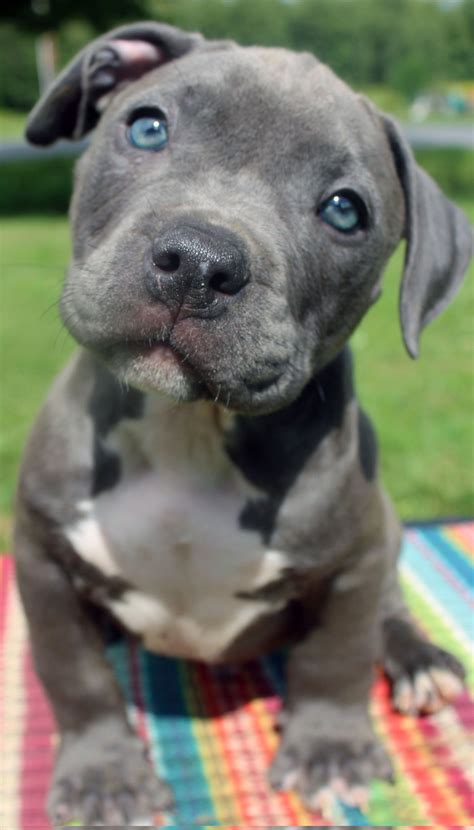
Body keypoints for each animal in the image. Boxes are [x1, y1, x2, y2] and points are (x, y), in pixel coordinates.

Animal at [16, 19, 472, 824]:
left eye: (345, 210)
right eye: (147, 127)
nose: (200, 260)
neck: (188, 426)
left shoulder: (355, 558)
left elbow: (336, 658)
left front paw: (329, 753)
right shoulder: (40, 554)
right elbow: (73, 671)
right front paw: (106, 777)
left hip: (386, 532)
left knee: (390, 609)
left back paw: (420, 661)